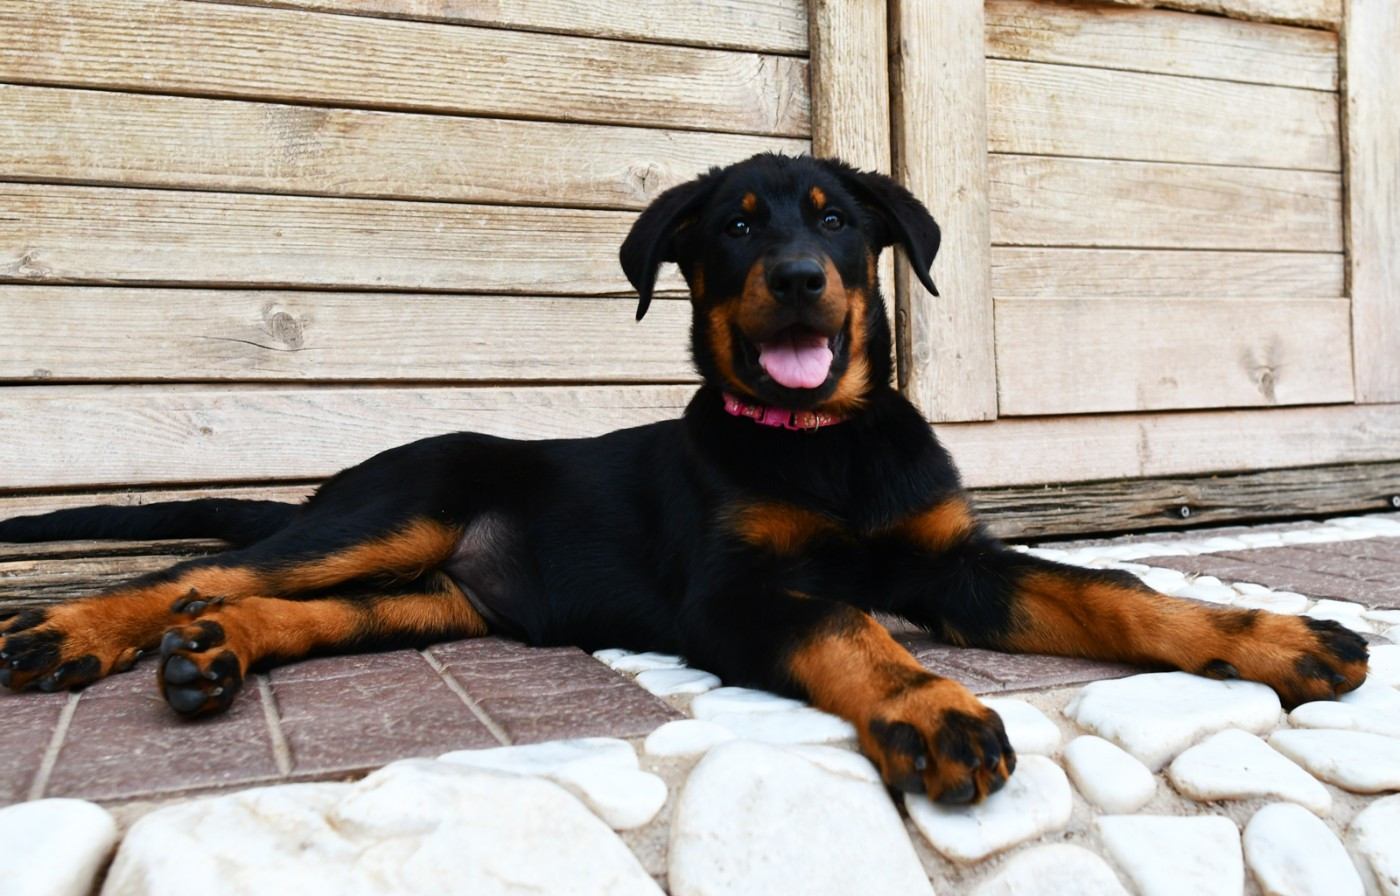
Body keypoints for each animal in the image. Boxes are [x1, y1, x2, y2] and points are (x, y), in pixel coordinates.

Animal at [0, 154, 1368, 803]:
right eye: (733, 228)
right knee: (210, 564)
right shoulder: (735, 596)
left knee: (281, 605)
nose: (800, 281)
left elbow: (1114, 594)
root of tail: (346, 474)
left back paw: (212, 653)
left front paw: (1276, 639)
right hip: (399, 511)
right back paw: (77, 629)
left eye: (836, 221)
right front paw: (928, 709)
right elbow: (852, 628)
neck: (823, 439)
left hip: (432, 593)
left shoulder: (952, 560)